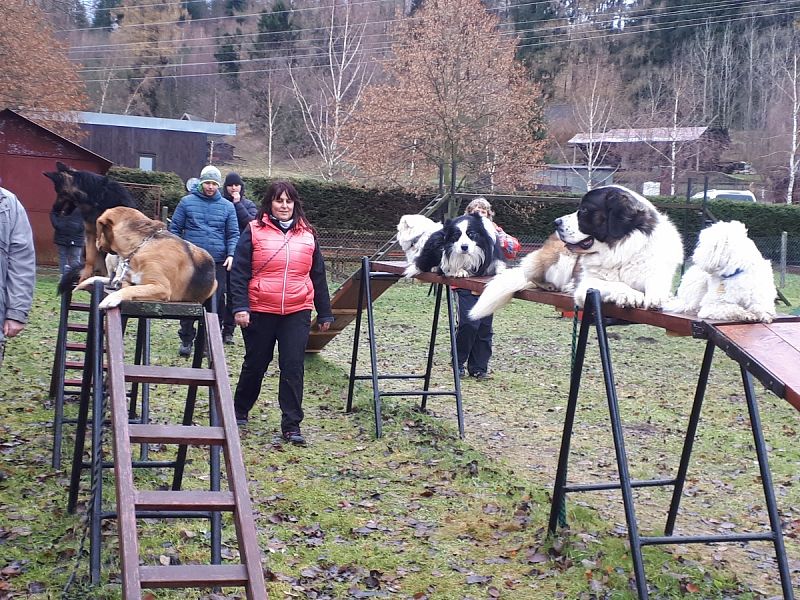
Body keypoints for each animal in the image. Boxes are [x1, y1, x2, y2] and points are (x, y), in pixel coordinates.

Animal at [44, 161, 137, 290]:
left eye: (60, 193)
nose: (55, 209)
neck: (96, 200)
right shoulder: (91, 234)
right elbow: (89, 259)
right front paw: (84, 278)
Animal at [75, 206, 217, 310]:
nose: (95, 243)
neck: (141, 246)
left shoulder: (162, 287)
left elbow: (132, 288)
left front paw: (111, 298)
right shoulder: (126, 279)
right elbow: (129, 286)